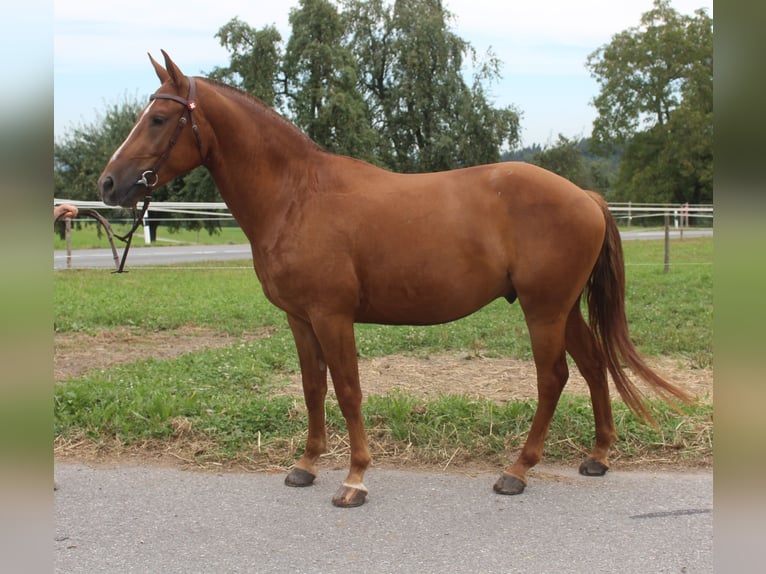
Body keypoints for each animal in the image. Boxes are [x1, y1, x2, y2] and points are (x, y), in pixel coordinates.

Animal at [99, 50, 692, 508]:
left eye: (158, 119)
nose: (108, 184)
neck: (296, 195)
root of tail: (585, 196)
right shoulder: (300, 319)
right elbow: (313, 388)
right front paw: (306, 465)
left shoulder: (333, 316)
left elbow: (348, 390)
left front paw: (355, 479)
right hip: (562, 308)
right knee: (593, 367)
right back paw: (597, 455)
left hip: (543, 310)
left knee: (554, 379)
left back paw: (517, 471)